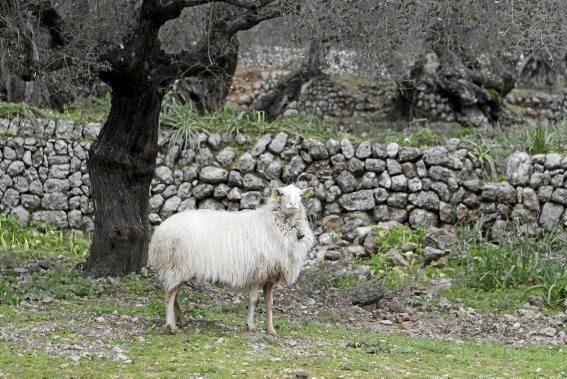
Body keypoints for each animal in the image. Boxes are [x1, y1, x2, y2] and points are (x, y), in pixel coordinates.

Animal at [146, 184, 316, 336]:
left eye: (301, 195)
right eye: (282, 194)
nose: (293, 205)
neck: (275, 224)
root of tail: (159, 232)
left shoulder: (270, 275)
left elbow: (269, 303)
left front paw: (271, 330)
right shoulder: (257, 272)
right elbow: (253, 300)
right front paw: (251, 326)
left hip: (177, 268)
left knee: (173, 293)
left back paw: (182, 320)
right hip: (177, 265)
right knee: (169, 295)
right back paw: (172, 326)